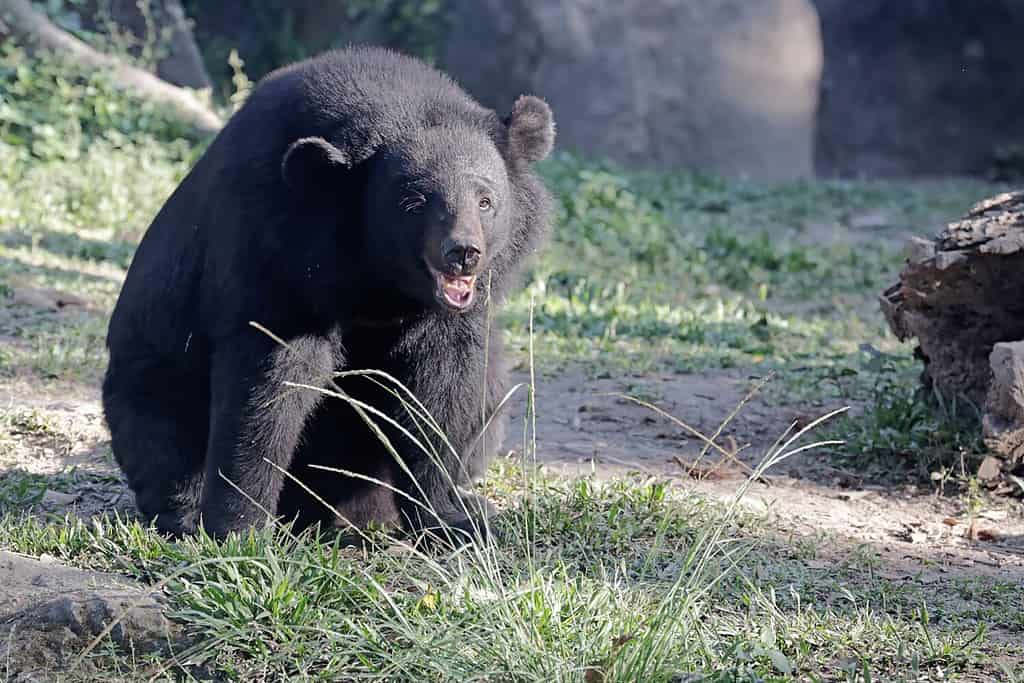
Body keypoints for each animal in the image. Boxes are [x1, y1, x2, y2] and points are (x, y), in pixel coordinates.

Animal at [99, 46, 557, 540]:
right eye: (414, 204)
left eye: (485, 201)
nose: (463, 253)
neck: (382, 278)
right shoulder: (275, 244)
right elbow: (271, 379)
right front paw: (238, 526)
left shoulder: (453, 316)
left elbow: (442, 391)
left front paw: (450, 520)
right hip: (149, 363)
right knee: (161, 424)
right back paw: (185, 512)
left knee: (488, 399)